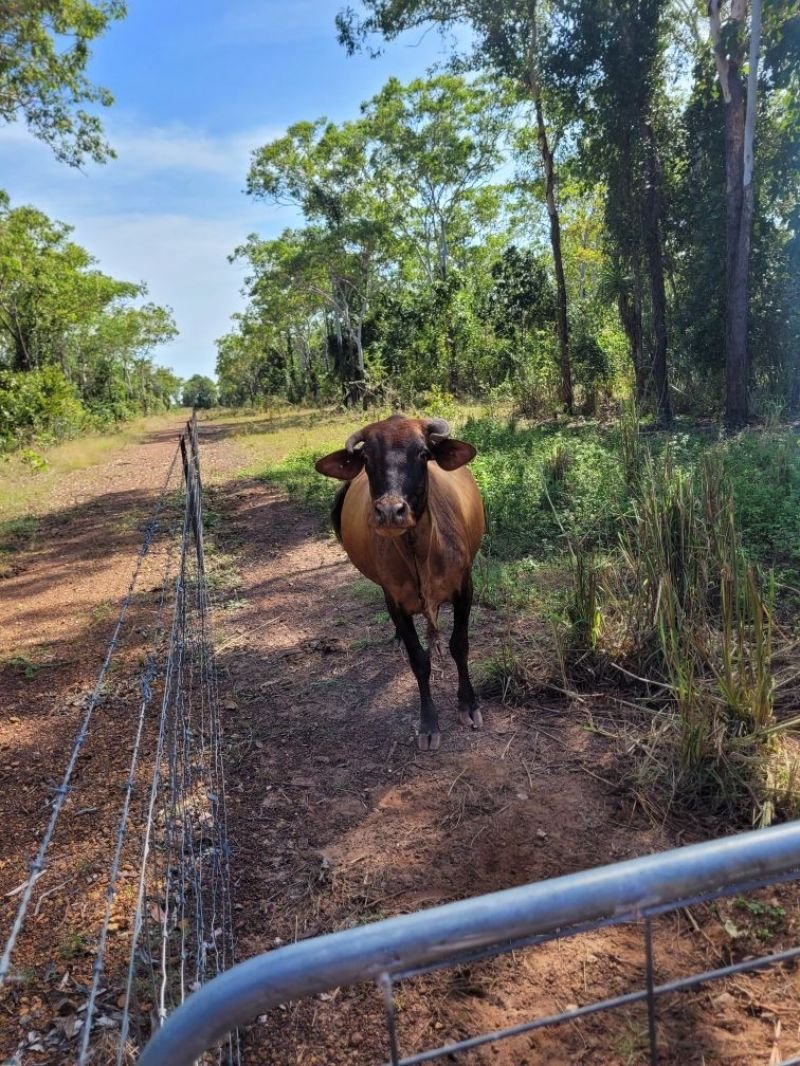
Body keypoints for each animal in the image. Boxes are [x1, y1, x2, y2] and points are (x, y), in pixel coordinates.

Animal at [315, 411, 486, 754]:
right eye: (367, 457)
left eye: (423, 453)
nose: (390, 511)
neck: (418, 551)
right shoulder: (396, 600)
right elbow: (418, 659)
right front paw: (429, 722)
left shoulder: (465, 587)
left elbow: (459, 645)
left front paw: (468, 704)